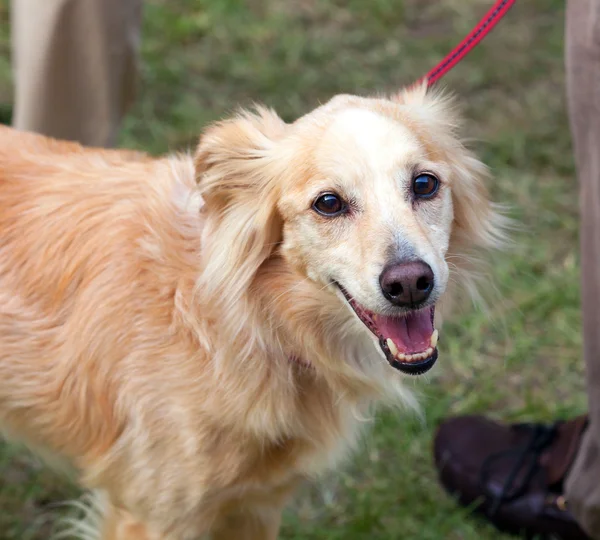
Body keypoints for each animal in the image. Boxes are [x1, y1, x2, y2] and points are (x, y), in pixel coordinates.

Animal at [0, 86, 504, 536]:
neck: (246, 325)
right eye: (329, 203)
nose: (410, 284)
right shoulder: (153, 514)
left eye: (424, 184)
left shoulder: (255, 503)